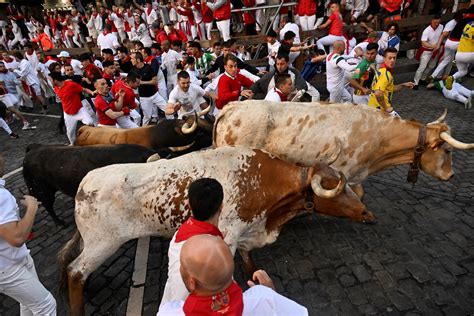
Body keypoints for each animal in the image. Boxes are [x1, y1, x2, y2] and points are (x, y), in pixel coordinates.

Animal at [59, 147, 366, 314]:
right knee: (76, 271)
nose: (366, 212)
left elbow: (248, 259)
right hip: (103, 244)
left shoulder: (246, 230)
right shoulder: (228, 235)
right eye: (335, 187)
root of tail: (86, 183)